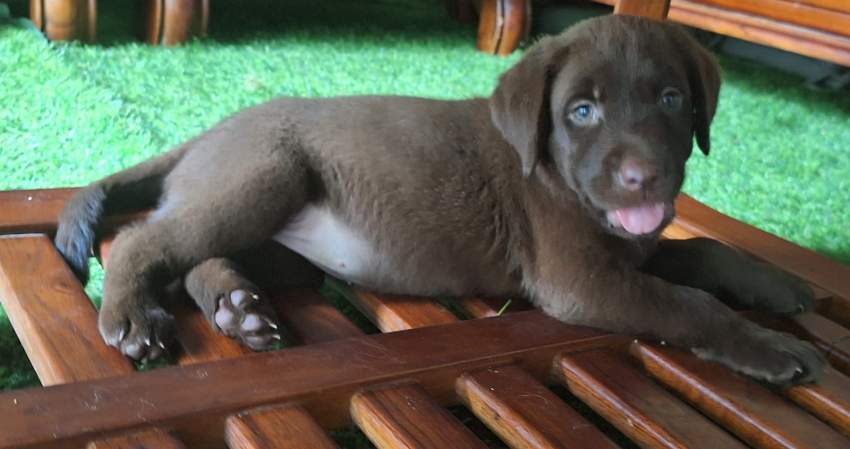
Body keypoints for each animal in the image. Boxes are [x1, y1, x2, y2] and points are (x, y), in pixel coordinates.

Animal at [53, 15, 820, 384]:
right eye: (581, 111)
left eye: (671, 100)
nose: (644, 177)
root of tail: (206, 135)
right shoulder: (580, 277)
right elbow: (688, 303)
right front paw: (769, 345)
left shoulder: (629, 251)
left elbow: (704, 251)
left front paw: (778, 284)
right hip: (261, 177)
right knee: (146, 240)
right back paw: (134, 316)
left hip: (284, 241)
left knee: (196, 257)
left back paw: (237, 310)